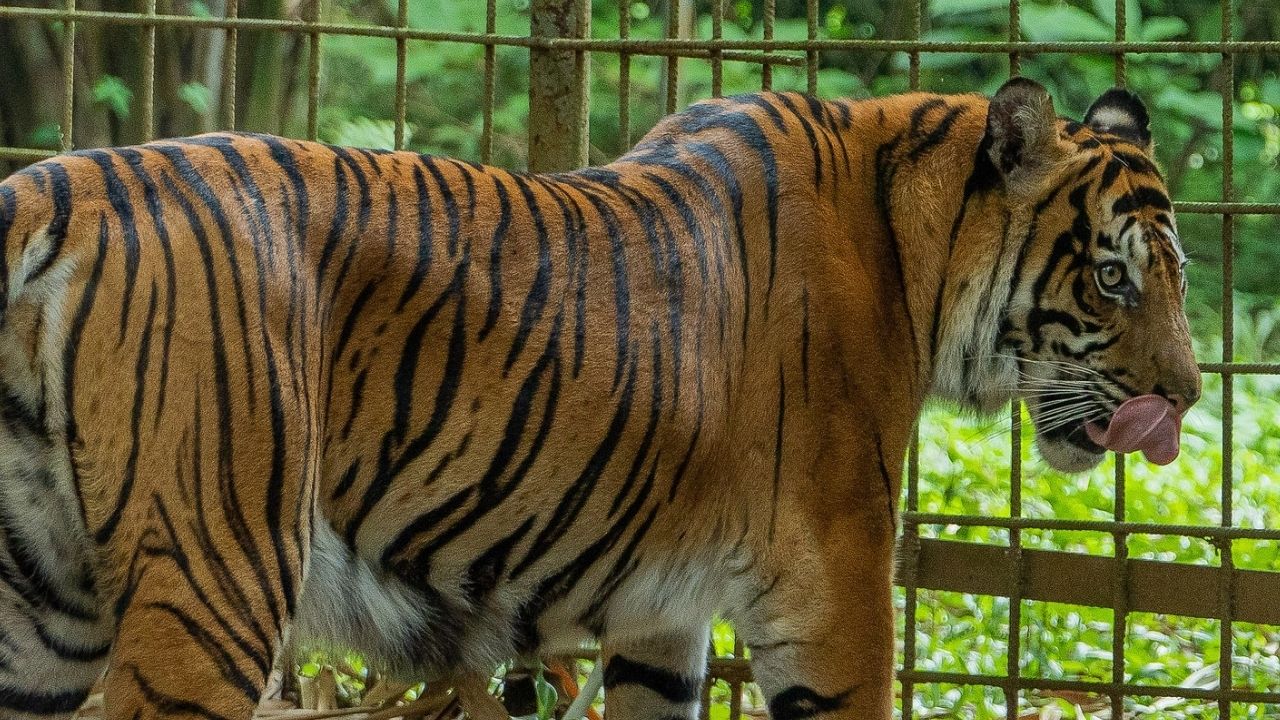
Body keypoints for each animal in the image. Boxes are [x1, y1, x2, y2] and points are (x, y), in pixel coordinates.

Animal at [0, 76, 1199, 720]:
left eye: (1171, 274)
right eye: (1112, 277)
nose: (1185, 400)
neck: (919, 249)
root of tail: (60, 182)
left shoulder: (661, 614)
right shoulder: (834, 582)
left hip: (42, 610)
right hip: (216, 574)